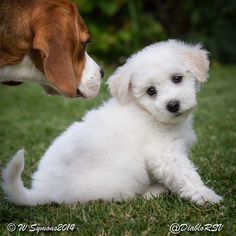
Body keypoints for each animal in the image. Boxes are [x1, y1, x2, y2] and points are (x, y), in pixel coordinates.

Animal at [2, 39, 222, 206]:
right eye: (151, 91)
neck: (147, 112)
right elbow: (186, 176)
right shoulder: (164, 154)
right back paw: (156, 191)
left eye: (177, 78)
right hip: (124, 177)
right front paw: (207, 196)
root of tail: (41, 191)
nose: (173, 105)